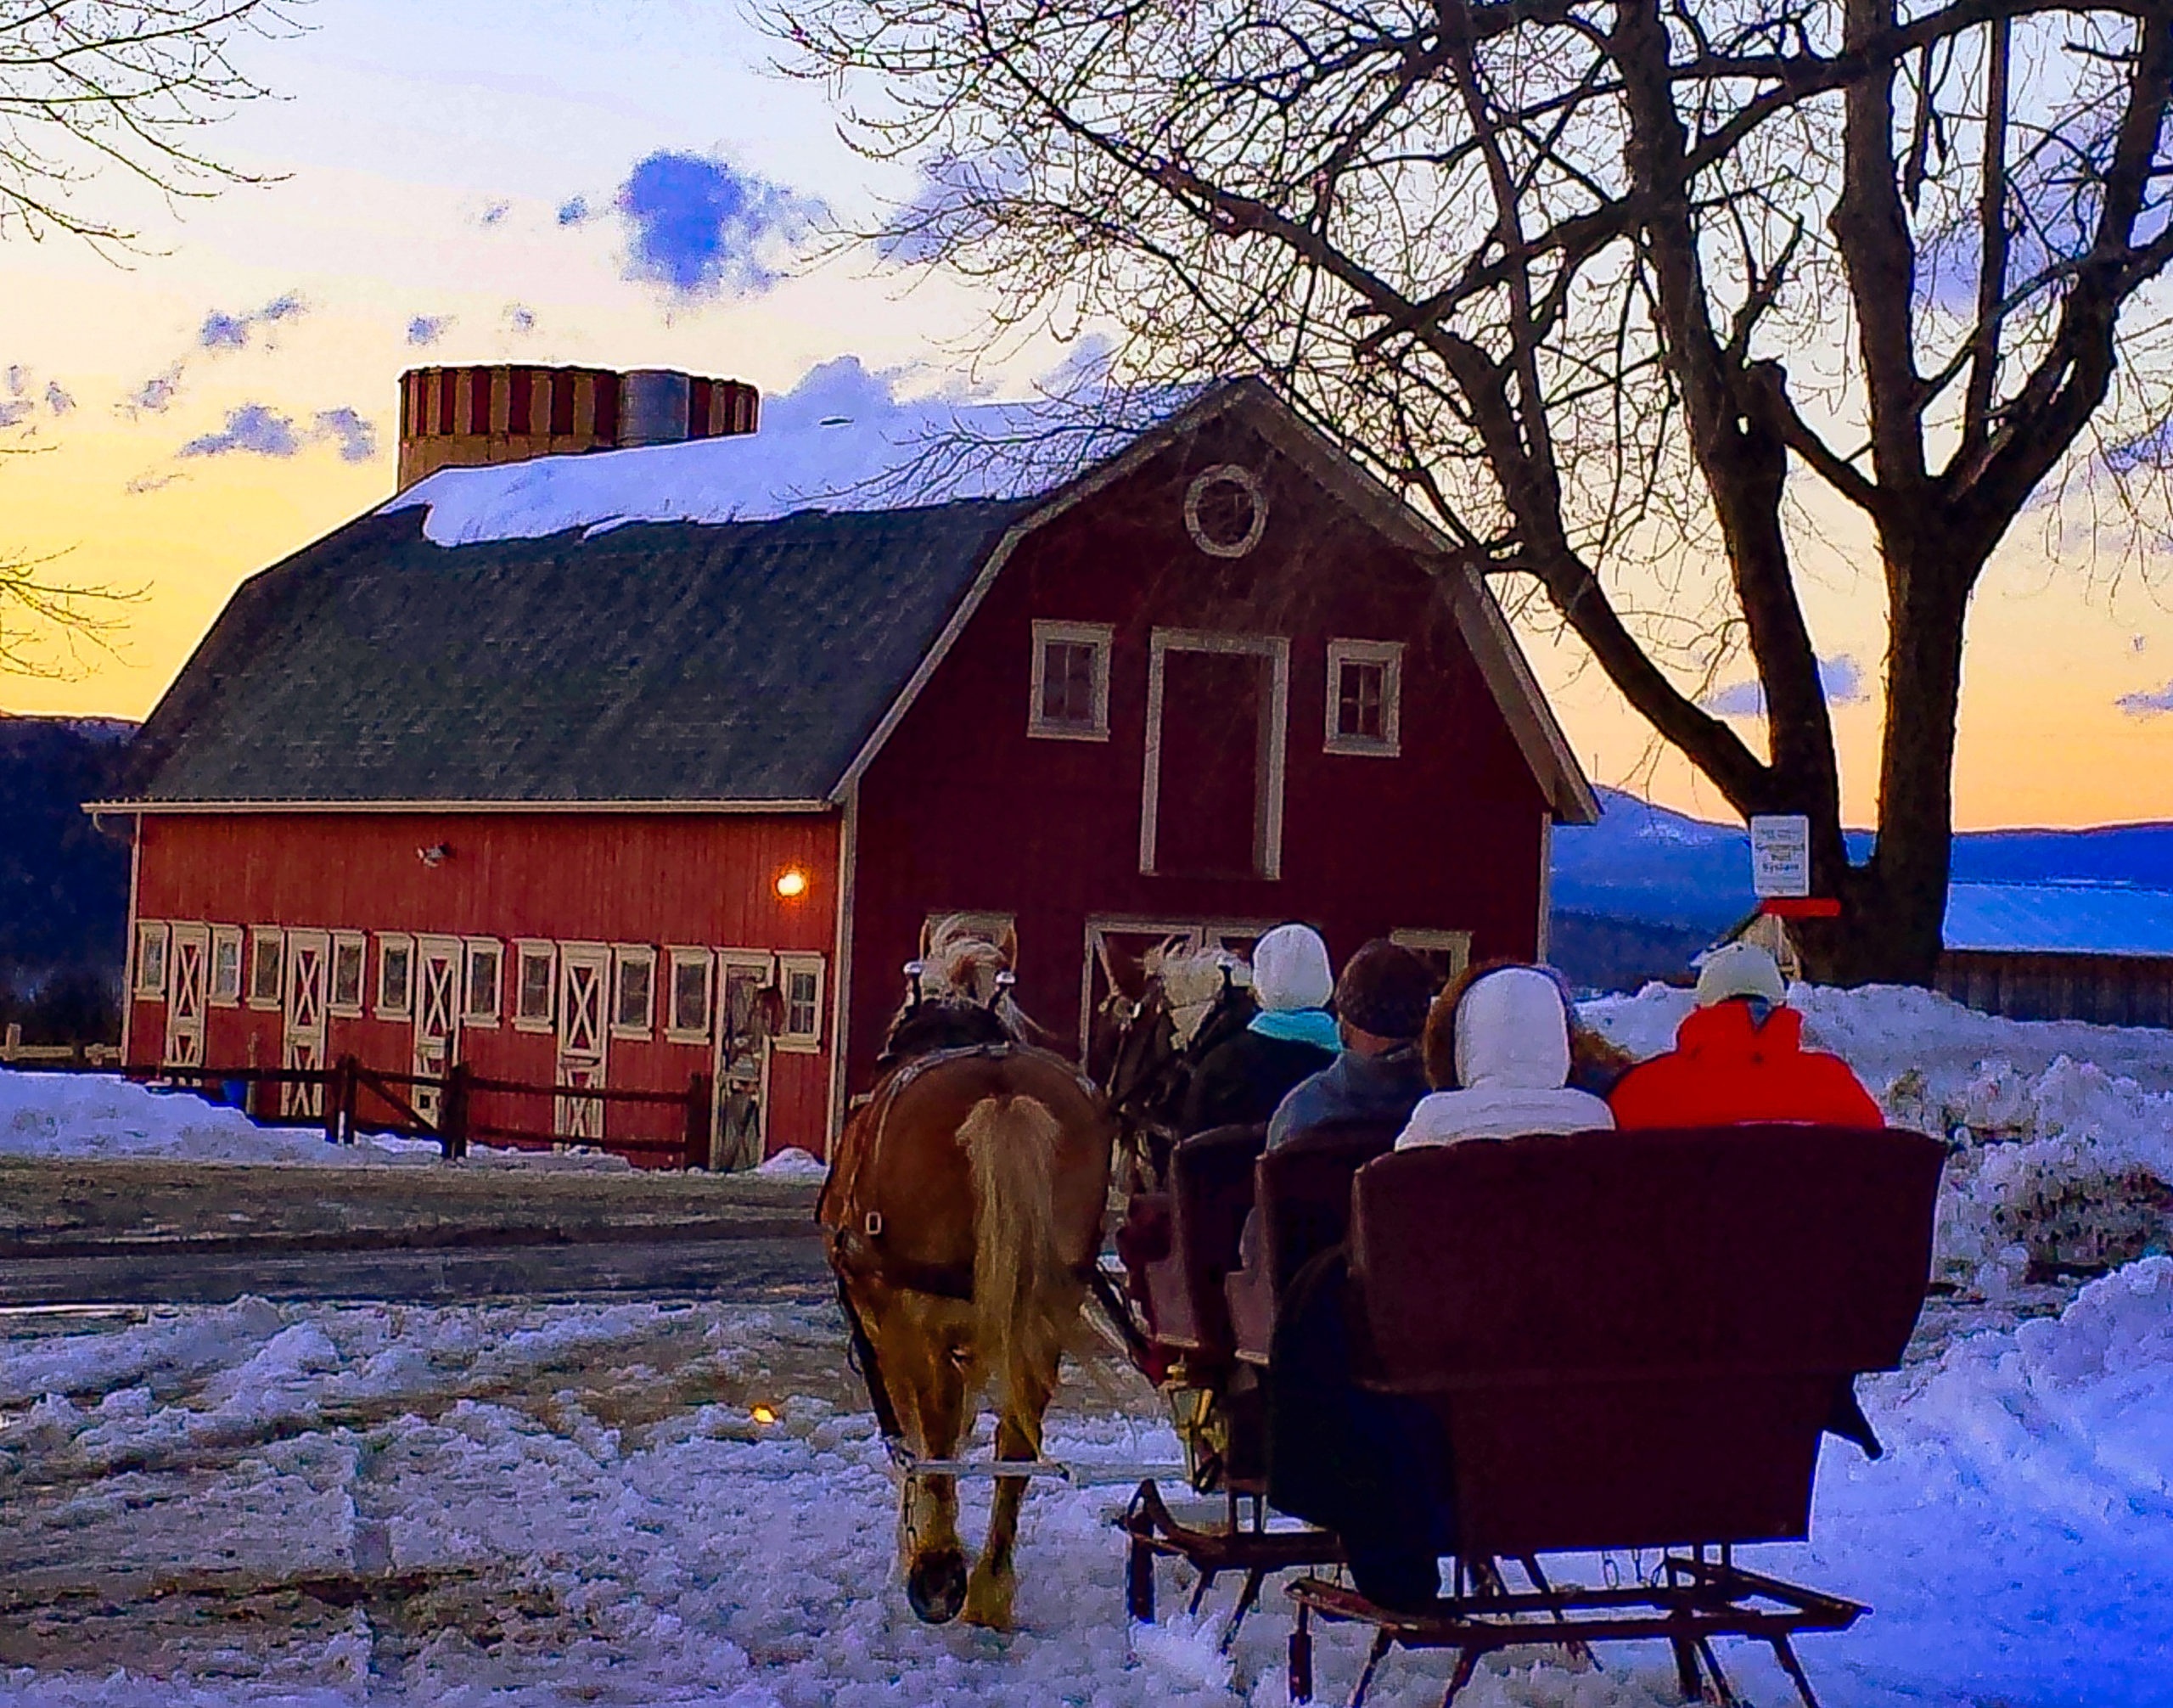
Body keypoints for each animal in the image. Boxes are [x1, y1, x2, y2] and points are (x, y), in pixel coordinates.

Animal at [817, 917, 1112, 1625]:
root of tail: (1001, 1096)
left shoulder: (888, 1318)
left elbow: (916, 1428)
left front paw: (917, 1539)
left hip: (922, 1308)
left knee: (941, 1425)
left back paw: (940, 1570)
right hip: (1044, 1313)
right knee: (1018, 1440)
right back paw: (991, 1588)